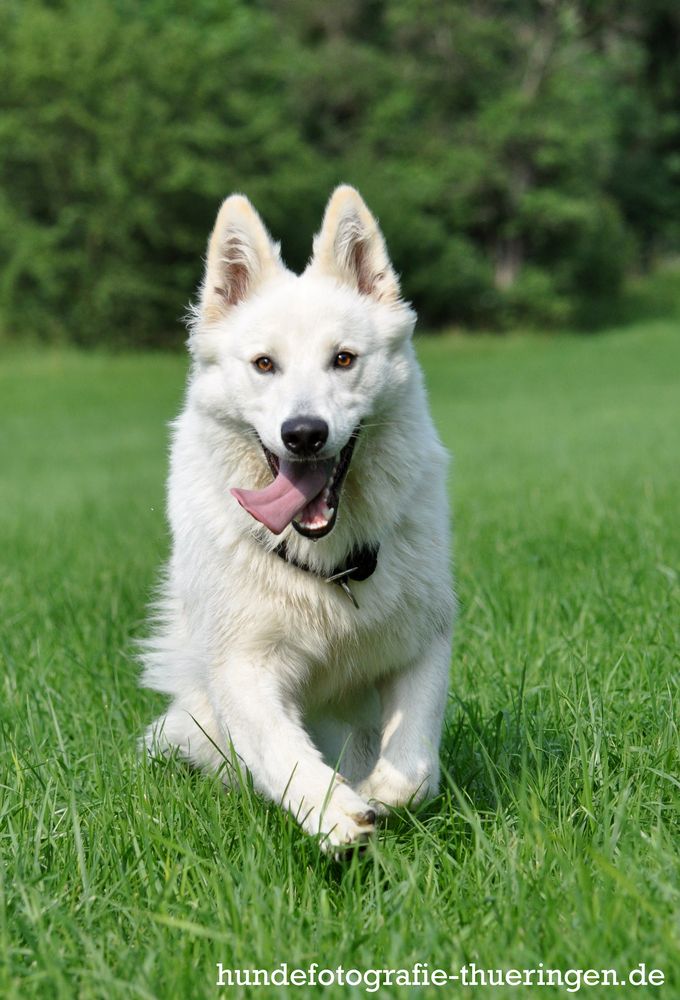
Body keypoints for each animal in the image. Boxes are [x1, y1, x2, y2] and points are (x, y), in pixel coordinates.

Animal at [141, 186, 454, 852]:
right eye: (265, 364)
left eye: (344, 359)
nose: (304, 434)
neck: (330, 565)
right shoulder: (243, 664)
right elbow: (280, 750)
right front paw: (333, 813)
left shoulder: (424, 638)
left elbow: (413, 759)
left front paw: (381, 792)